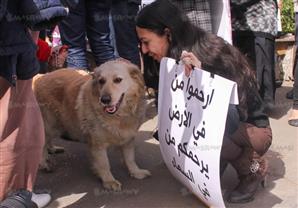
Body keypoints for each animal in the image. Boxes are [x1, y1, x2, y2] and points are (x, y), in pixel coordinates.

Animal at [33, 59, 151, 190]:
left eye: (118, 80)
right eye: (101, 81)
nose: (104, 100)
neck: (118, 117)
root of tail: (41, 76)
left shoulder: (128, 139)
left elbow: (130, 159)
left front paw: (136, 172)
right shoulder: (97, 144)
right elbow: (104, 164)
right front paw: (109, 181)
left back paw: (53, 149)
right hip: (49, 125)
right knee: (42, 144)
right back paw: (43, 163)